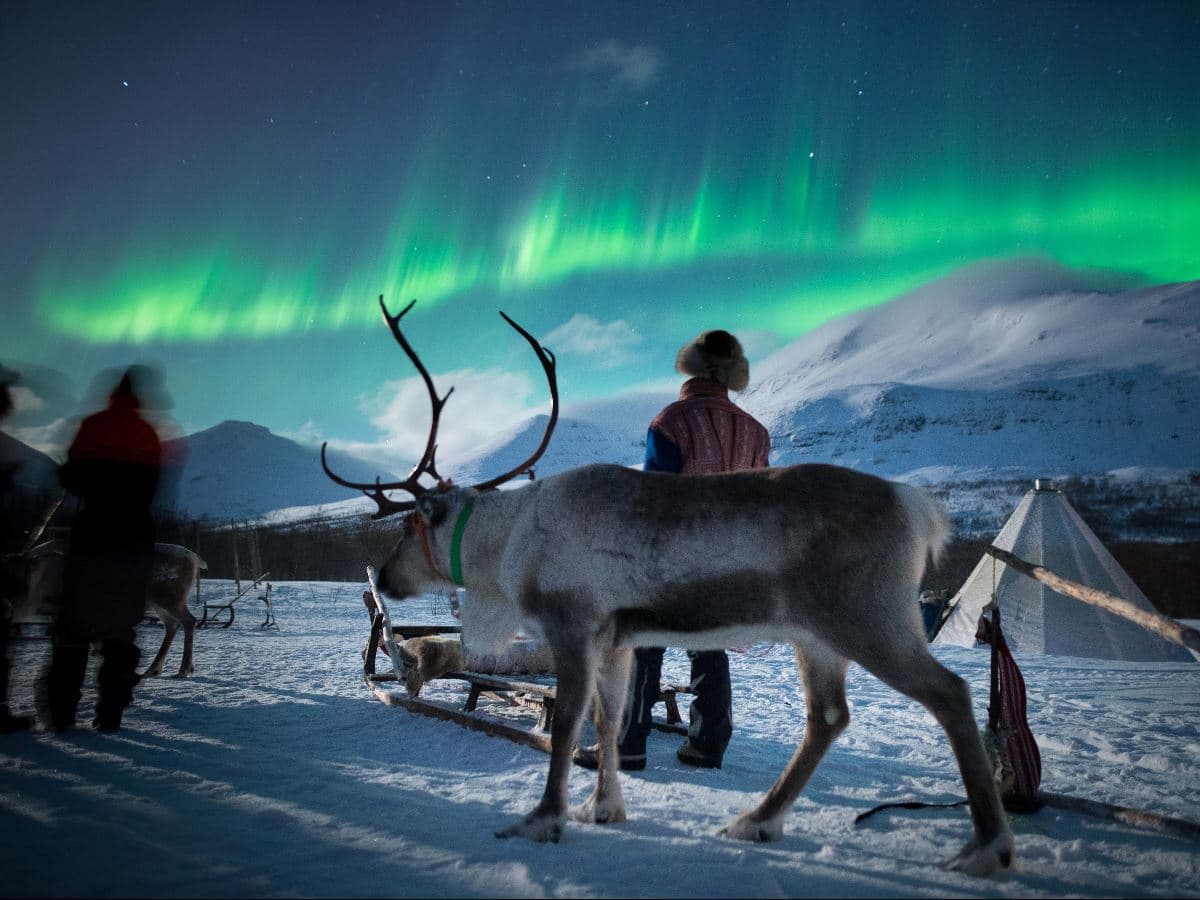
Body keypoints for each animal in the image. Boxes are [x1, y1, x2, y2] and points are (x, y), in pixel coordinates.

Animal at [8, 538, 205, 679]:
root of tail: (195, 558)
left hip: (170, 599)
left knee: (188, 621)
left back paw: (183, 669)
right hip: (158, 603)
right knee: (172, 625)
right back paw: (153, 670)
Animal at [323, 295, 1013, 876]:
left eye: (410, 523)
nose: (386, 576)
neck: (509, 541)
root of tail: (917, 508)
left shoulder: (572, 624)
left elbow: (568, 723)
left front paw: (543, 819)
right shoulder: (618, 639)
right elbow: (608, 720)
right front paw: (603, 809)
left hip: (870, 619)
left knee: (950, 693)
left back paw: (986, 846)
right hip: (815, 637)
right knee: (828, 717)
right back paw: (756, 821)